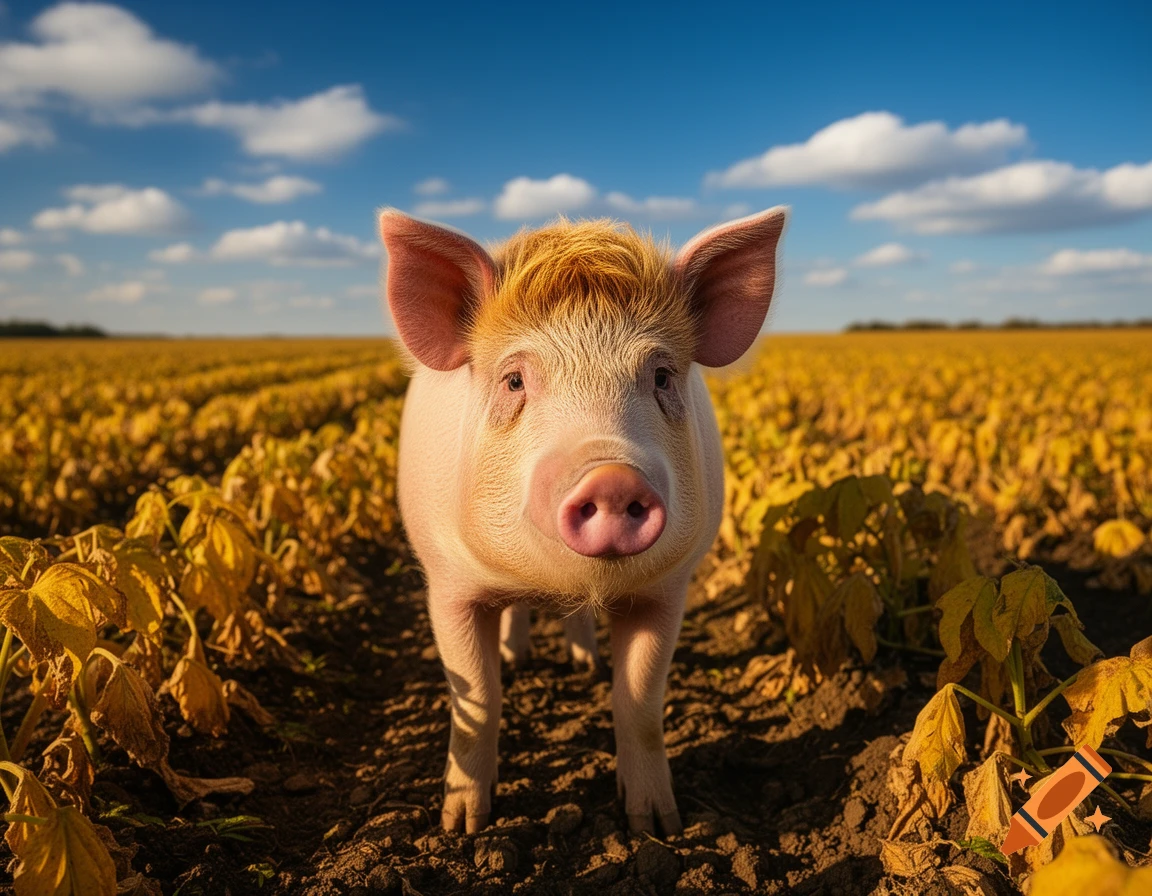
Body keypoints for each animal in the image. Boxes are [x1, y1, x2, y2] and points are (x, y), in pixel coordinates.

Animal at [378, 205, 788, 836]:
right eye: (514, 380)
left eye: (662, 376)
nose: (611, 476)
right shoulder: (447, 584)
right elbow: (477, 698)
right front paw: (464, 826)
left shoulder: (667, 588)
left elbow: (639, 701)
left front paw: (657, 826)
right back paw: (518, 659)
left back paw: (583, 665)